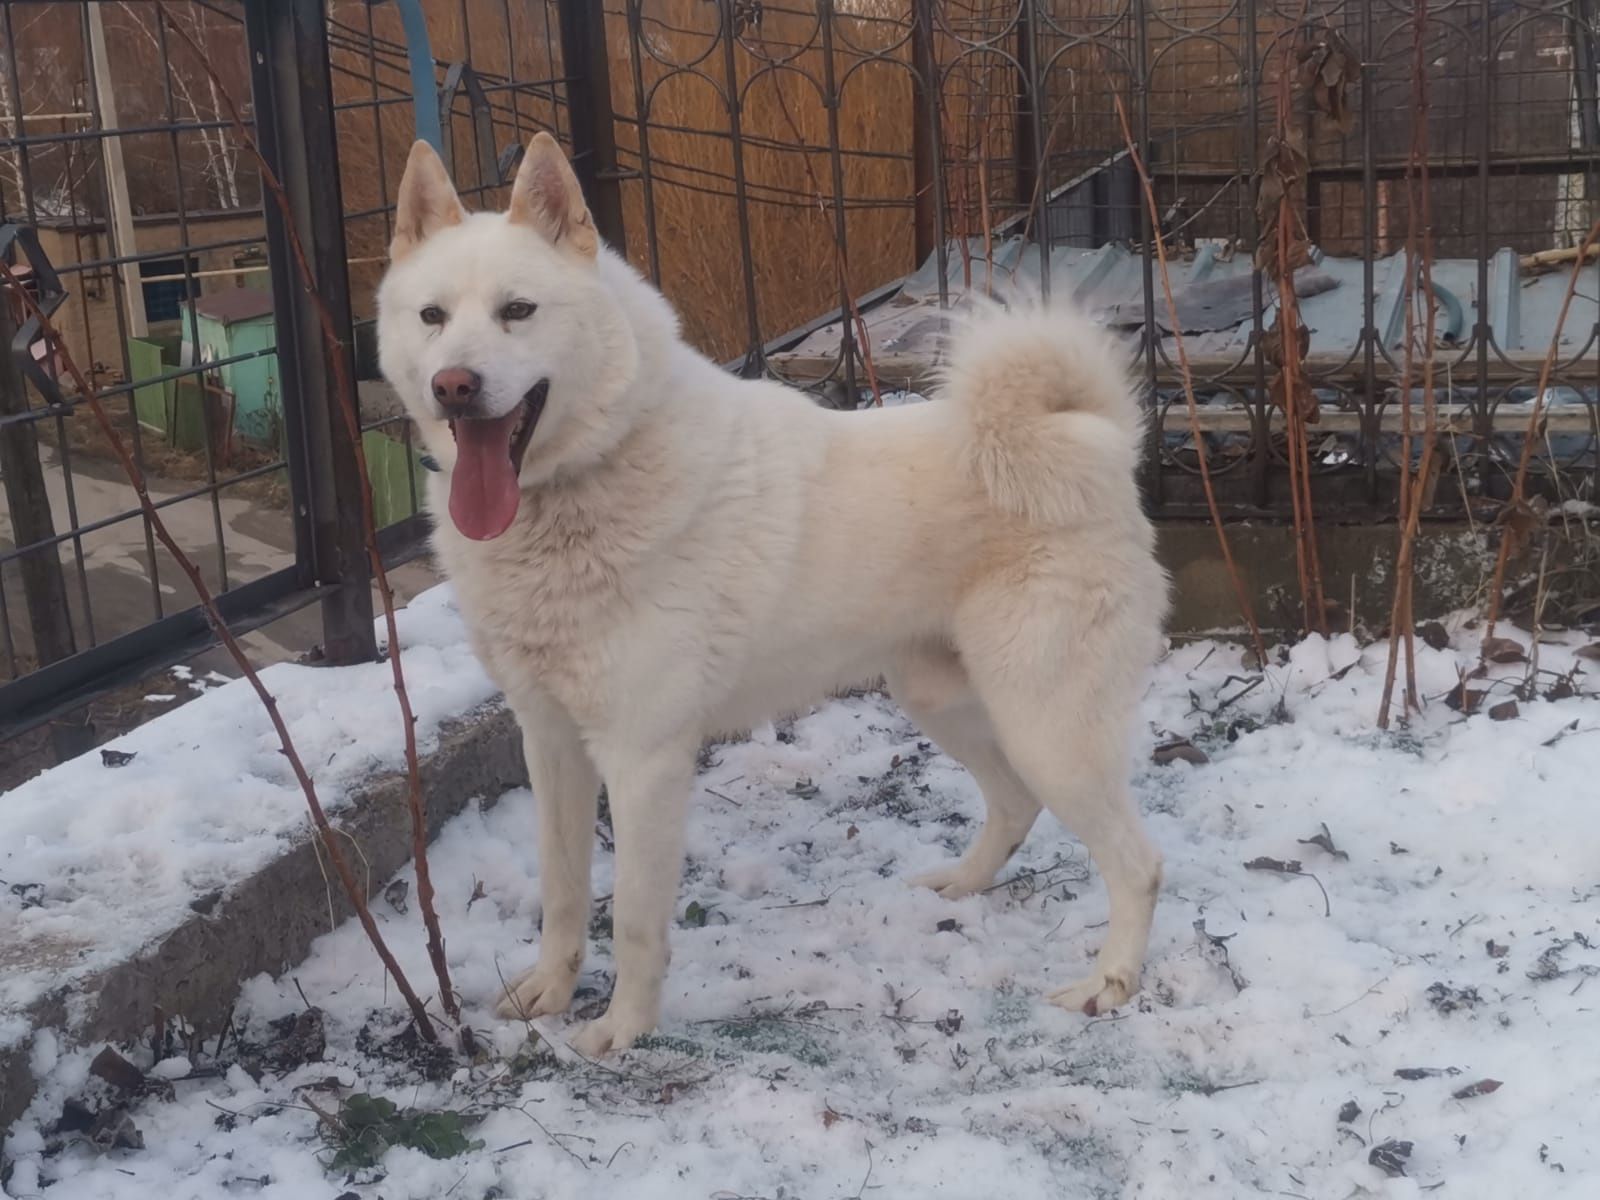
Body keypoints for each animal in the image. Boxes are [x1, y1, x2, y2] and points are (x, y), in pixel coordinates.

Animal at [380, 129, 1171, 1049]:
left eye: (518, 311)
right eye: (432, 317)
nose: (455, 386)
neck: (587, 481)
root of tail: (1093, 438)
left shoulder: (644, 759)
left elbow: (636, 918)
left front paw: (623, 1030)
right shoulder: (550, 743)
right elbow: (564, 891)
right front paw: (547, 991)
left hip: (1047, 726)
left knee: (1138, 863)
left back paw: (1109, 985)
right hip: (942, 698)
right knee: (1014, 804)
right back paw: (961, 886)